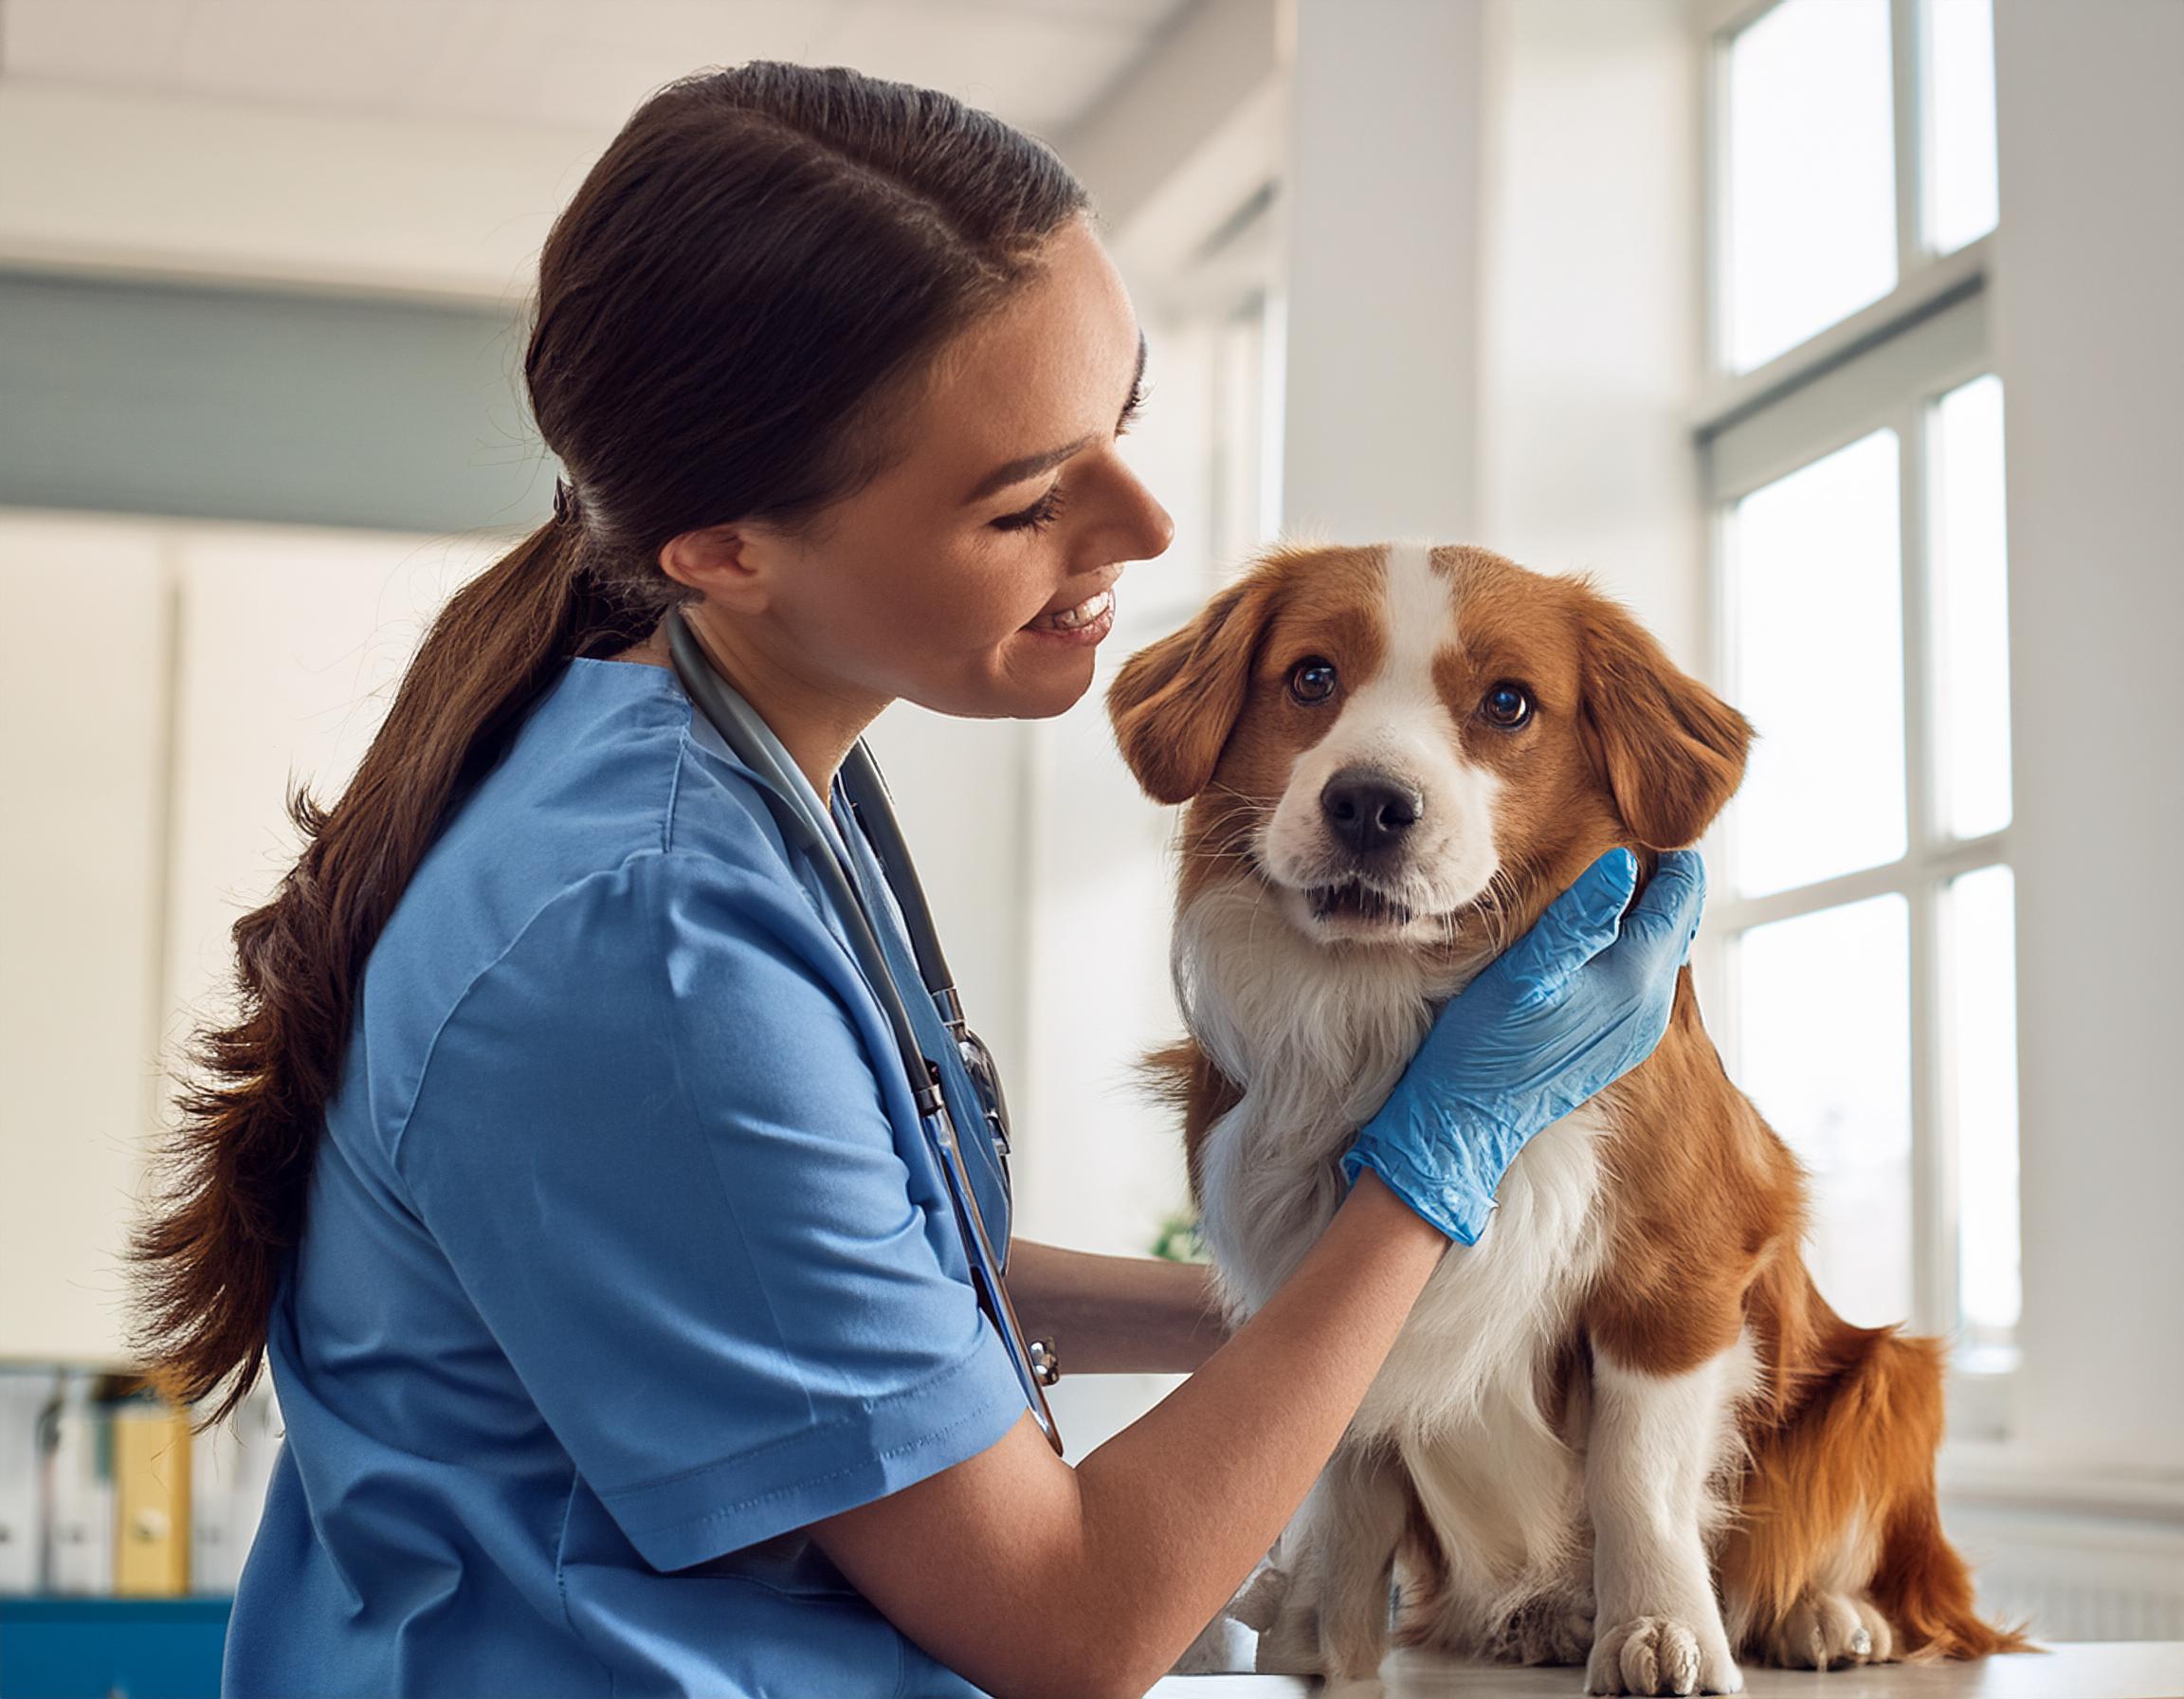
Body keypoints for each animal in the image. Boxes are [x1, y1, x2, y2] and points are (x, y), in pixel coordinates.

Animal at [1109, 543, 2027, 1694]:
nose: (1369, 803)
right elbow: (1345, 1485)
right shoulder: (1317, 1283)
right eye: (1311, 677)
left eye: (1508, 702)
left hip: (1886, 1381)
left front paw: (1662, 1627)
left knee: (1886, 1575)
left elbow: (1635, 1472)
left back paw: (1824, 1615)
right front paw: (1323, 1642)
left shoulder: (1676, 1277)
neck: (1400, 1020)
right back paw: (1540, 1615)